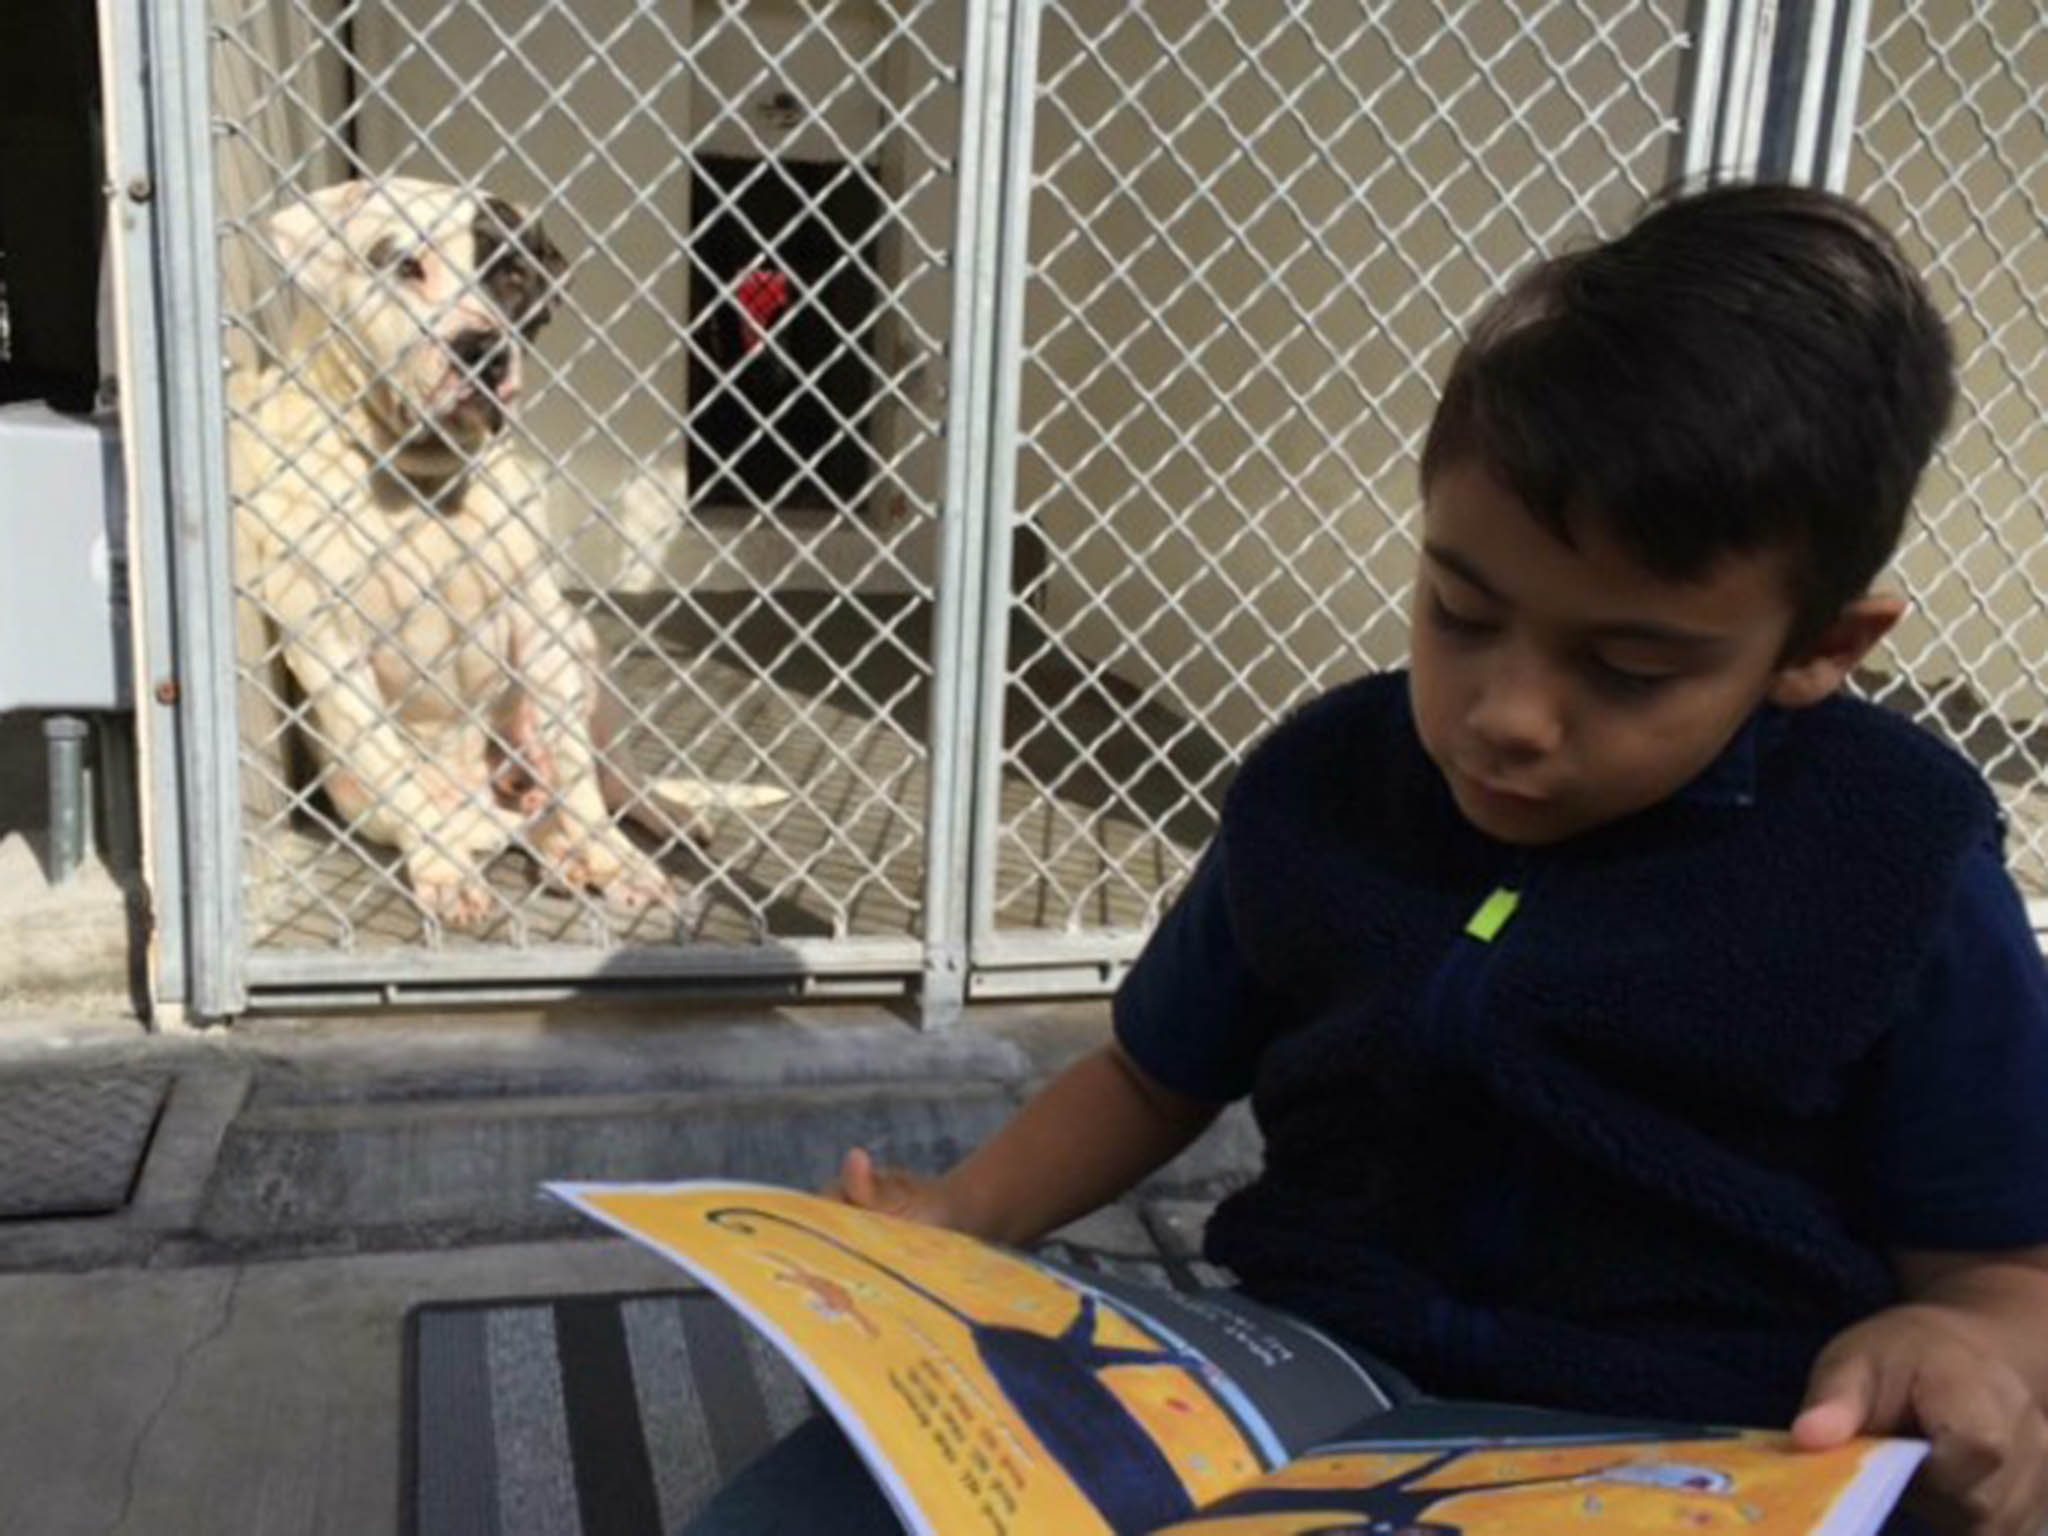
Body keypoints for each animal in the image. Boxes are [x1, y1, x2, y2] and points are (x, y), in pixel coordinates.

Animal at [232, 174, 782, 933]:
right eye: (404, 265)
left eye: (513, 276)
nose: (481, 349)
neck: (425, 482)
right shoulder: (329, 645)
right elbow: (398, 773)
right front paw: (446, 876)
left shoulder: (539, 627)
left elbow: (580, 782)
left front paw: (615, 861)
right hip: (377, 794)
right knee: (505, 822)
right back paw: (550, 855)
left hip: (583, 651)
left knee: (607, 778)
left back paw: (645, 823)